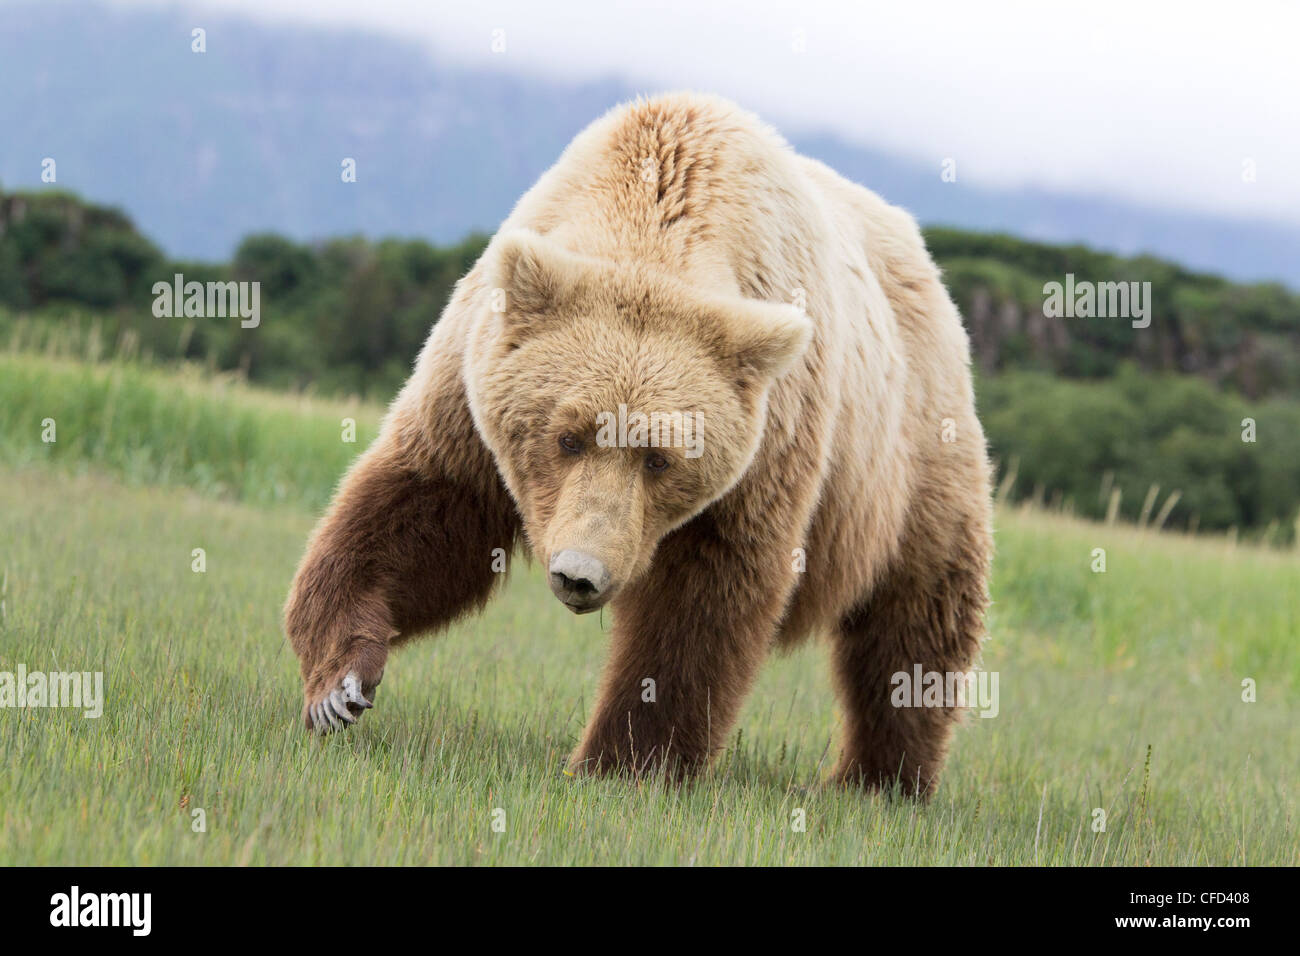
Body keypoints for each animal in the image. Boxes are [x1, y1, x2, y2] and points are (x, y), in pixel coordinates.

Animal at [287, 89, 993, 796]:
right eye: (567, 437)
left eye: (659, 457)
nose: (580, 575)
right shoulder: (472, 386)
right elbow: (423, 510)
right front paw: (340, 685)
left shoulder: (765, 452)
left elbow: (701, 604)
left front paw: (623, 763)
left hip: (916, 454)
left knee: (915, 617)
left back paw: (880, 779)